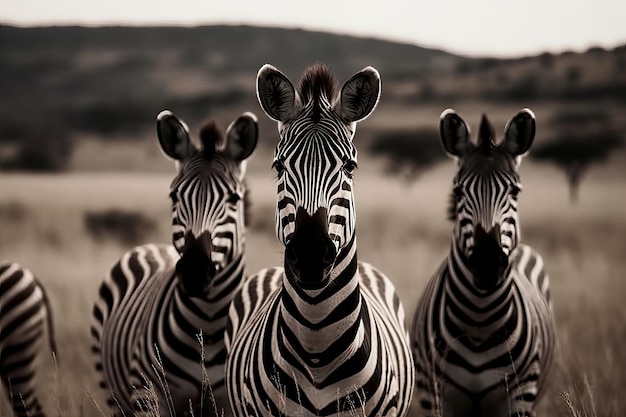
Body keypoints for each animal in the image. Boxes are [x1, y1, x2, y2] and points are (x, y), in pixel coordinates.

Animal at [91, 109, 258, 414]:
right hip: (111, 392)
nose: (194, 272)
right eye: (174, 196)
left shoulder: (230, 402)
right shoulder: (148, 397)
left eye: (233, 198)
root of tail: (152, 247)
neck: (208, 321)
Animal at [410, 109, 556, 414]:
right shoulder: (434, 394)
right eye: (458, 192)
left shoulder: (522, 393)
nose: (488, 264)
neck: (479, 322)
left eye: (515, 192)